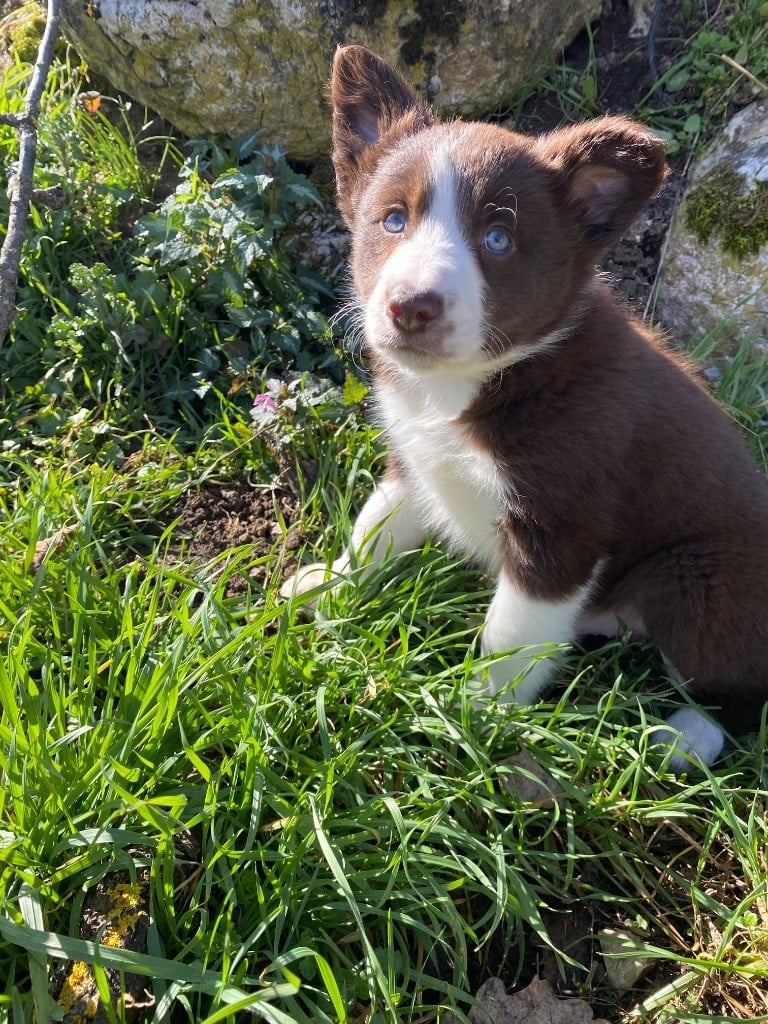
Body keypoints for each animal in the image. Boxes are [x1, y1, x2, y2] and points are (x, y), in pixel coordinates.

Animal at [286, 44, 768, 770]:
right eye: (394, 219)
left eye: (498, 240)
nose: (411, 308)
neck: (481, 379)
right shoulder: (416, 460)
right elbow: (376, 528)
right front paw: (335, 585)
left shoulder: (561, 526)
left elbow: (509, 635)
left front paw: (476, 713)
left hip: (701, 577)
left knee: (739, 689)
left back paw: (682, 739)